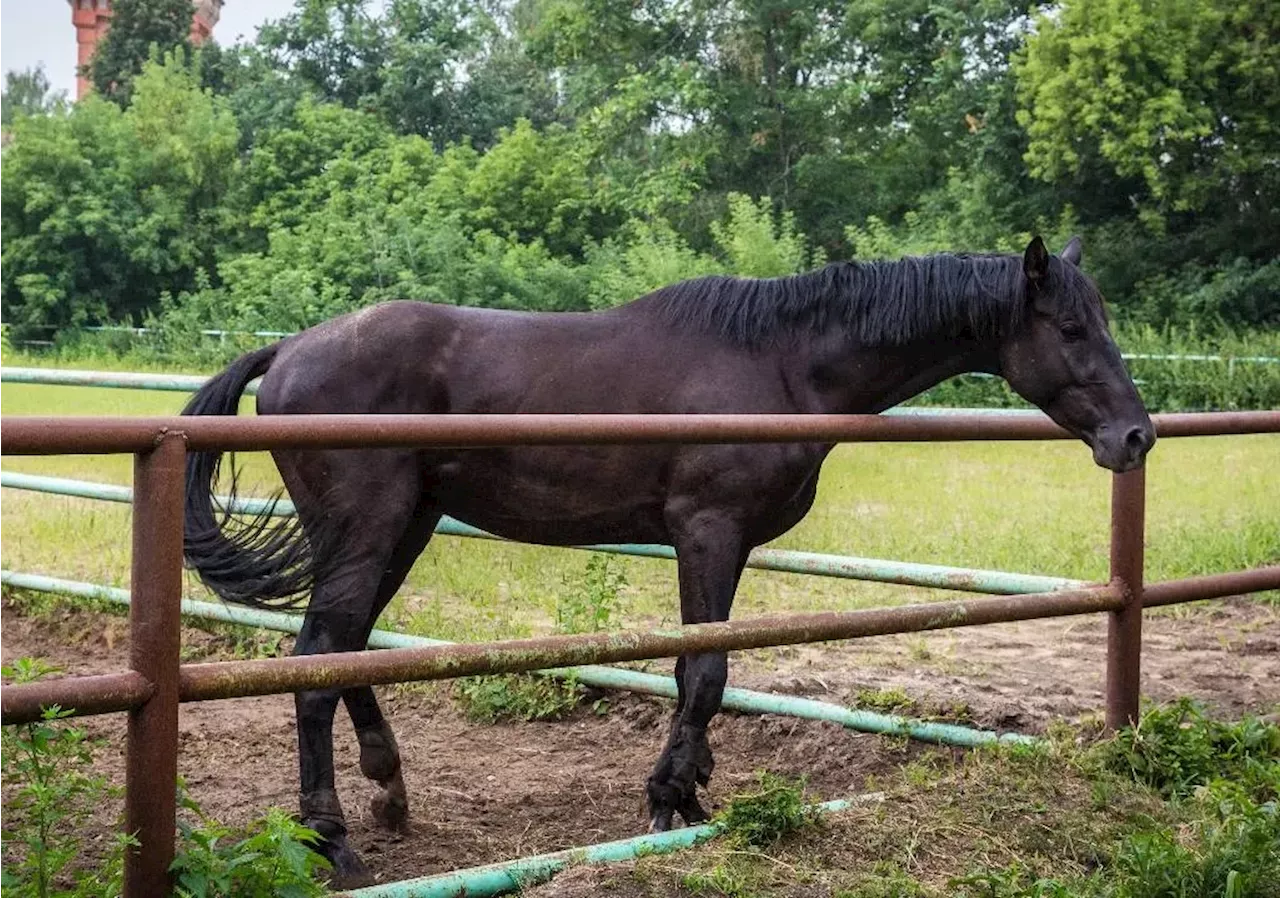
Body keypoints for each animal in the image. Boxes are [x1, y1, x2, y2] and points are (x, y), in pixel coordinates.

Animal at [177, 237, 1152, 885]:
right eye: (1071, 327)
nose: (1135, 436)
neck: (782, 364)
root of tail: (291, 349)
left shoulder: (720, 543)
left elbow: (693, 671)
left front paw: (689, 792)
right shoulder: (707, 532)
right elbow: (707, 671)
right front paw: (668, 799)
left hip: (403, 529)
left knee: (341, 652)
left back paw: (388, 791)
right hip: (373, 530)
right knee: (315, 661)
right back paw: (332, 840)